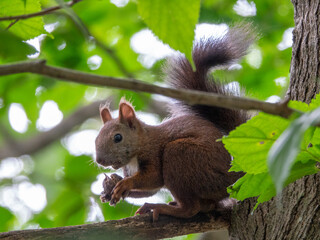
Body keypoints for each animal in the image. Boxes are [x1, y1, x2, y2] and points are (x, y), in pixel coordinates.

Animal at [94, 24, 254, 221]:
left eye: (118, 137)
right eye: (96, 138)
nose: (100, 160)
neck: (137, 149)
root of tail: (231, 178)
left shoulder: (153, 152)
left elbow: (153, 178)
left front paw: (125, 184)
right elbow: (148, 190)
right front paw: (111, 189)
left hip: (180, 154)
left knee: (190, 208)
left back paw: (161, 208)